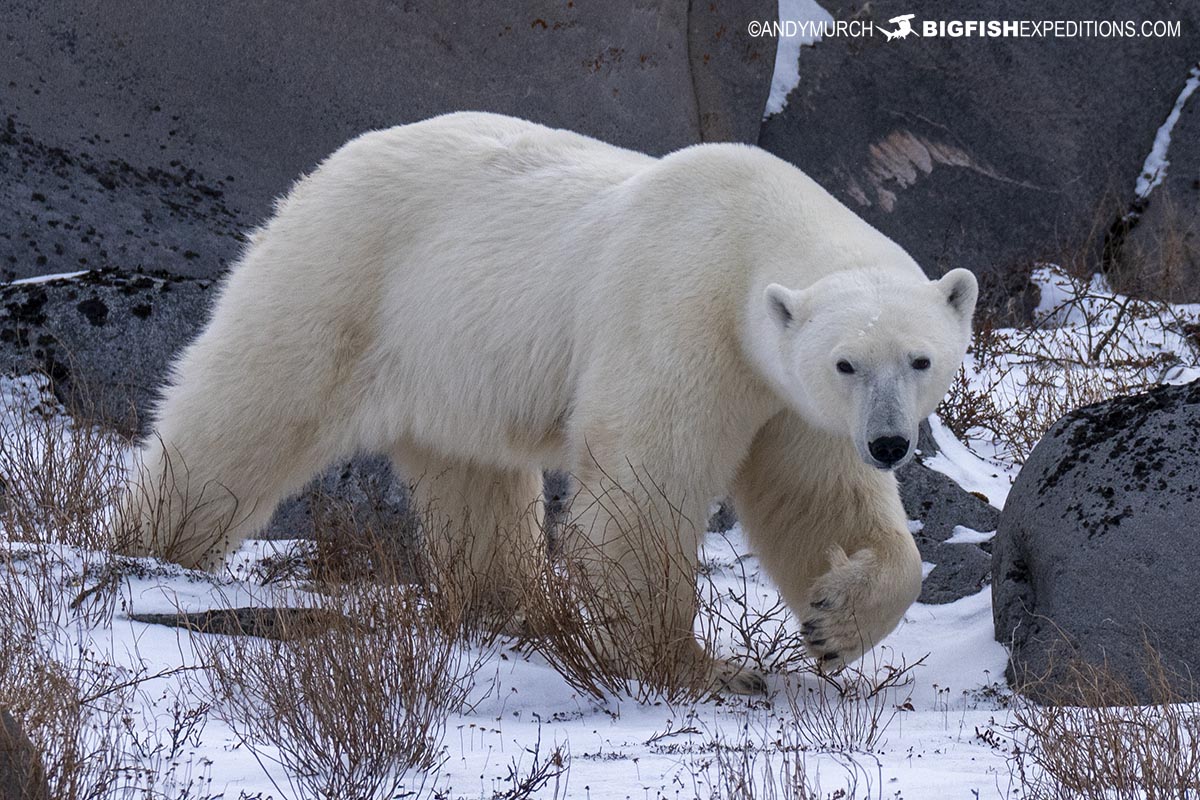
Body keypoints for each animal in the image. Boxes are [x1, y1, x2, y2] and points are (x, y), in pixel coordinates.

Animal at [125, 112, 977, 693]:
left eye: (919, 358)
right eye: (846, 362)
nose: (891, 444)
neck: (748, 232)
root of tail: (327, 168)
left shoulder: (788, 396)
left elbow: (815, 497)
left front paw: (833, 621)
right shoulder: (680, 311)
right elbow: (646, 487)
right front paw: (699, 667)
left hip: (452, 358)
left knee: (475, 489)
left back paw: (507, 607)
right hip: (343, 278)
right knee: (245, 413)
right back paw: (146, 543)